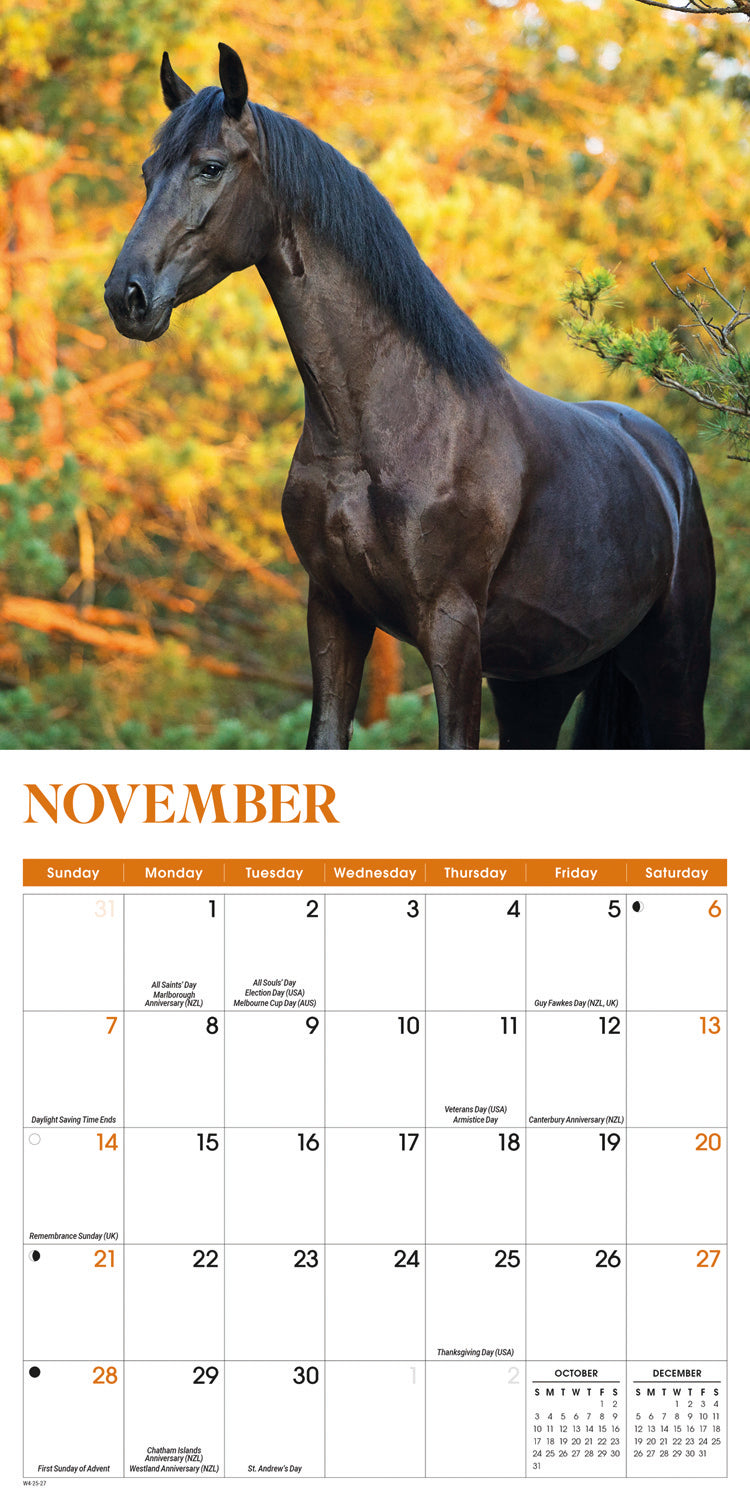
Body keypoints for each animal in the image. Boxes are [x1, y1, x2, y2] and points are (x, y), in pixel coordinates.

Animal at [104, 43, 715, 749]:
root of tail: (666, 461)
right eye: (148, 172)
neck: (387, 426)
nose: (127, 296)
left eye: (211, 167)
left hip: (672, 674)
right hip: (537, 684)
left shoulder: (451, 629)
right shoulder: (333, 612)